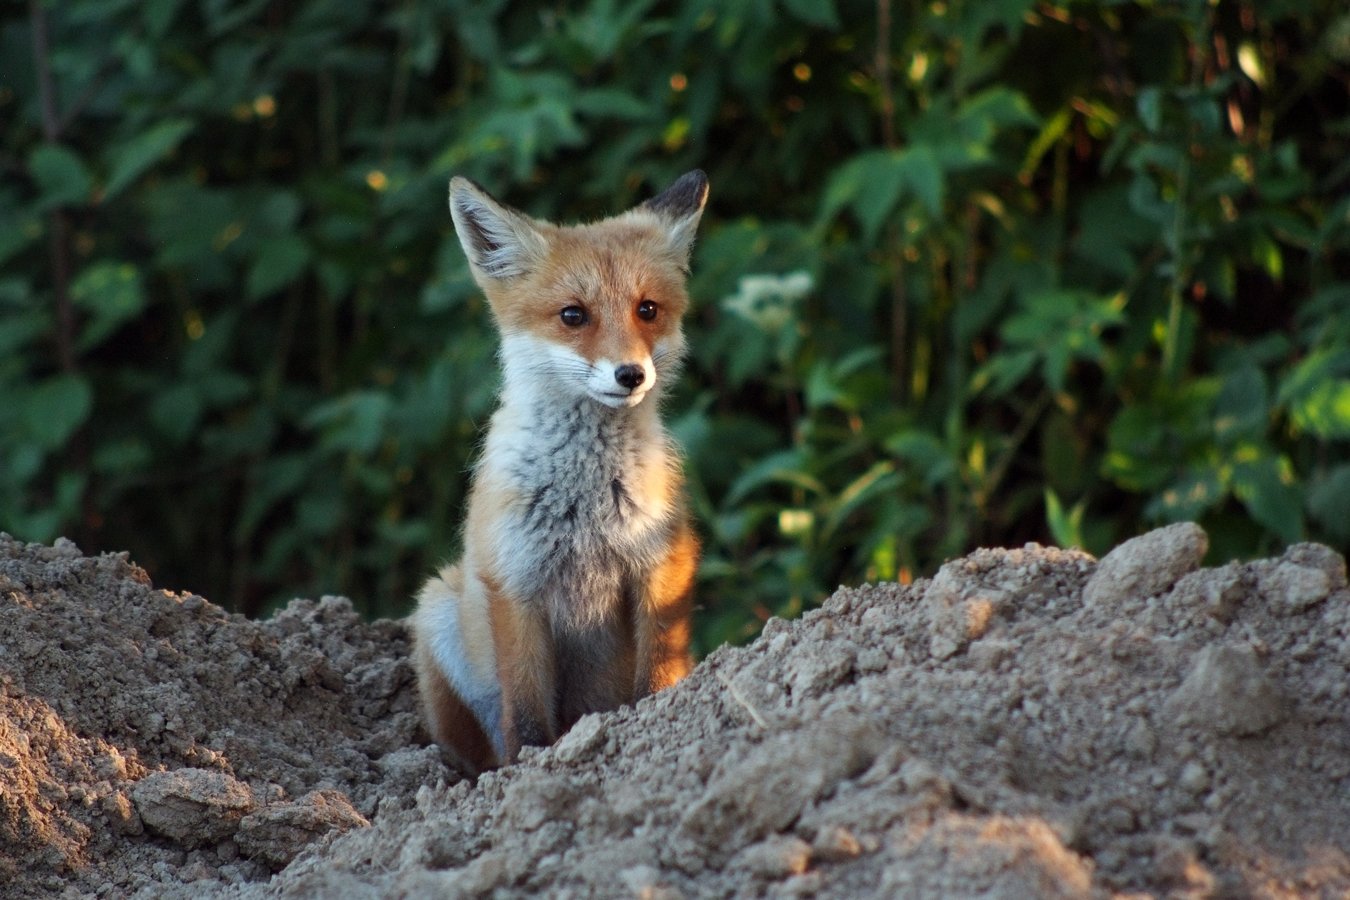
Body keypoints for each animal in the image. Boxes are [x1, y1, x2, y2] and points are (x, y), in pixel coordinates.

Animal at [407, 170, 707, 777]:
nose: (631, 374)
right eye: (573, 315)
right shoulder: (514, 583)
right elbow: (525, 712)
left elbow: (658, 676)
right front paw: (530, 769)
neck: (584, 502)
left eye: (647, 309)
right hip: (438, 608)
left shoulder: (663, 564)